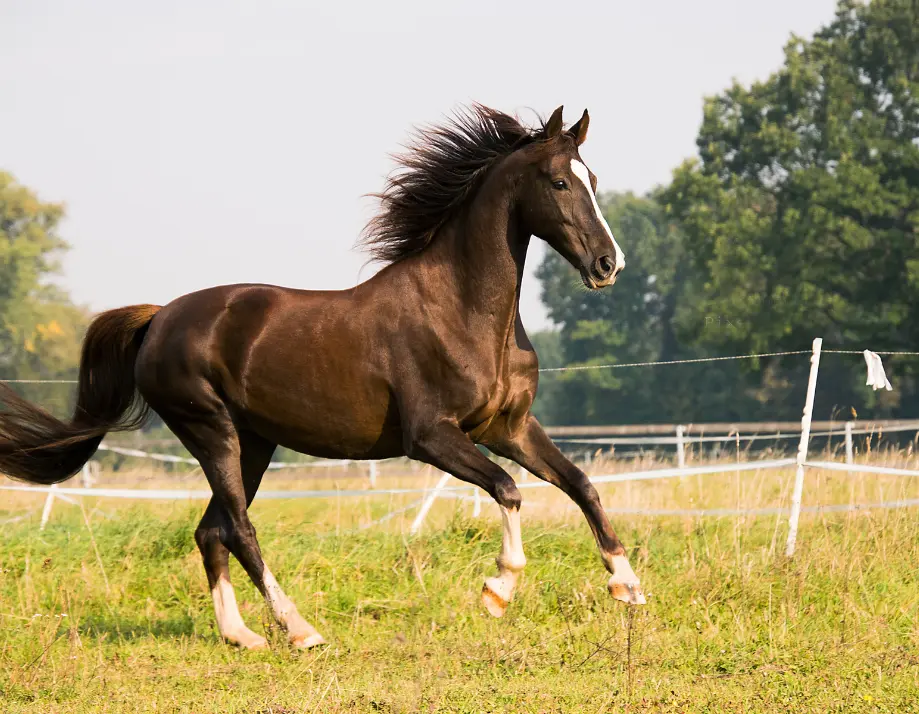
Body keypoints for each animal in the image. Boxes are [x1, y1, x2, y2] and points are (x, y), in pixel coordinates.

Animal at [0, 104, 644, 651]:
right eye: (559, 182)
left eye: (593, 178)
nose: (608, 265)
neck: (461, 310)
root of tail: (159, 318)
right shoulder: (432, 437)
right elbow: (508, 489)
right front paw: (498, 591)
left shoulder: (508, 428)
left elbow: (582, 485)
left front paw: (627, 586)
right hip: (211, 432)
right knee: (239, 529)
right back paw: (300, 630)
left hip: (253, 443)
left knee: (211, 531)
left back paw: (242, 636)